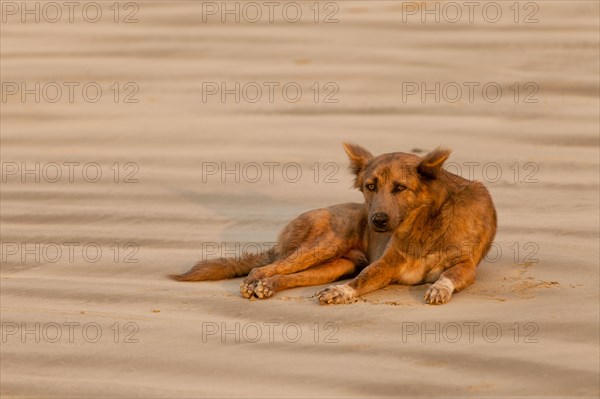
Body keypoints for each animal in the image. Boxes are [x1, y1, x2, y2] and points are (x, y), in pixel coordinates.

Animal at [170, 145, 496, 306]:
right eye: (370, 187)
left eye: (400, 188)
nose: (377, 220)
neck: (426, 224)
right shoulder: (385, 265)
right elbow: (361, 281)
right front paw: (341, 293)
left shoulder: (466, 265)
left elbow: (448, 275)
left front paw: (439, 289)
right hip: (324, 245)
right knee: (261, 269)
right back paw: (255, 284)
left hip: (334, 264)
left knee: (285, 277)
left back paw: (267, 288)